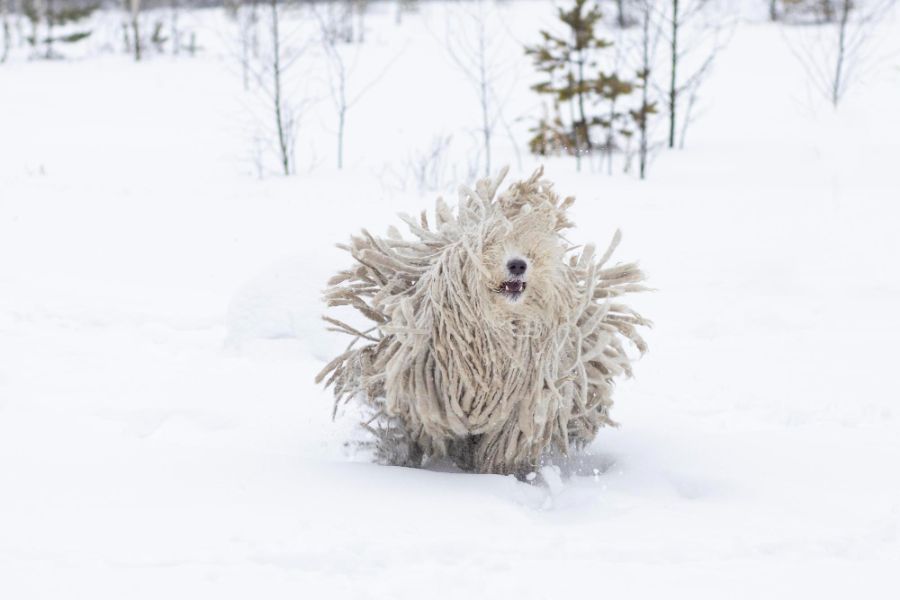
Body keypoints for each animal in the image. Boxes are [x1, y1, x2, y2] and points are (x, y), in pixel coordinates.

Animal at [316, 166, 648, 476]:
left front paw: (499, 473)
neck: (494, 334)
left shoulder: (522, 403)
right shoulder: (422, 389)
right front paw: (400, 456)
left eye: (530, 252)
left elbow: (504, 444)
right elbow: (414, 426)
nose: (517, 265)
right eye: (489, 248)